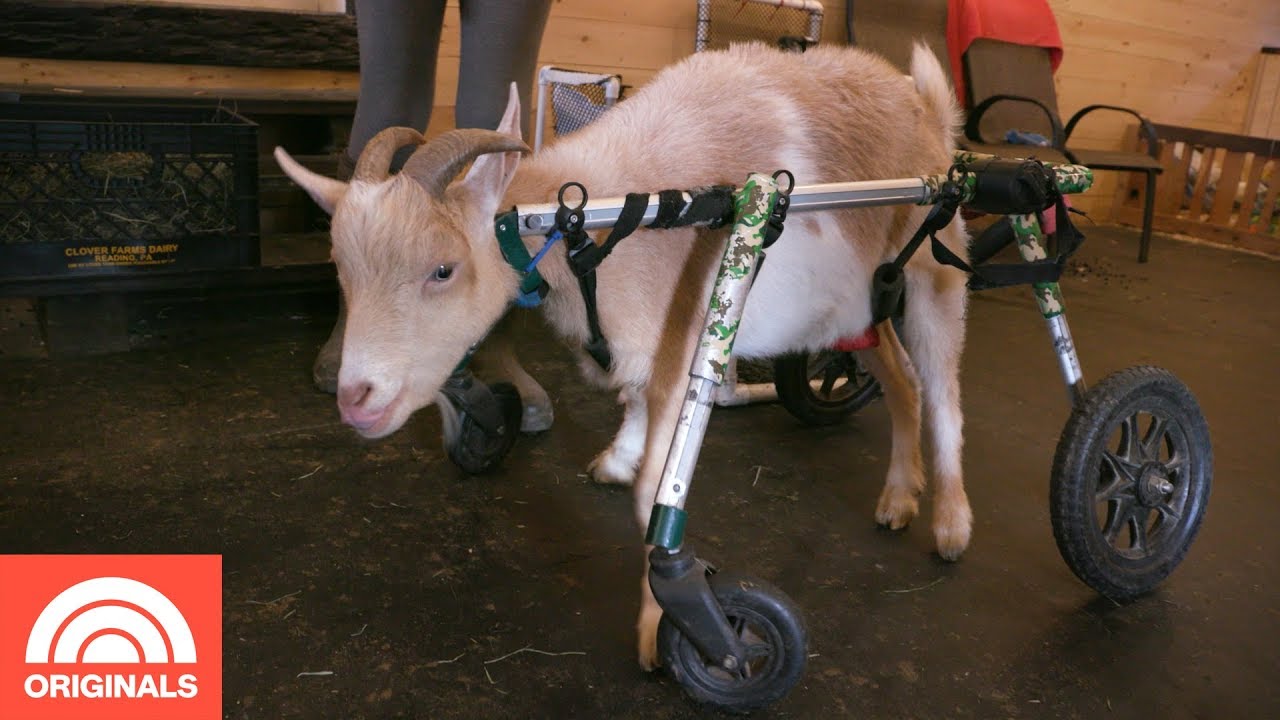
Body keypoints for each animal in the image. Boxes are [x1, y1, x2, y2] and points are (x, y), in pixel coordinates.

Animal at [275, 42, 972, 670]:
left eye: (442, 270)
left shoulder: (687, 340)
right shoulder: (640, 347)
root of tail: (926, 110)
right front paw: (614, 453)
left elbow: (651, 495)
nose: (355, 400)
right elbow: (631, 400)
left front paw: (665, 626)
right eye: (340, 269)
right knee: (902, 381)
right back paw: (898, 498)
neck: (588, 223)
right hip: (858, 305)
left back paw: (950, 525)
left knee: (942, 392)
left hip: (936, 272)